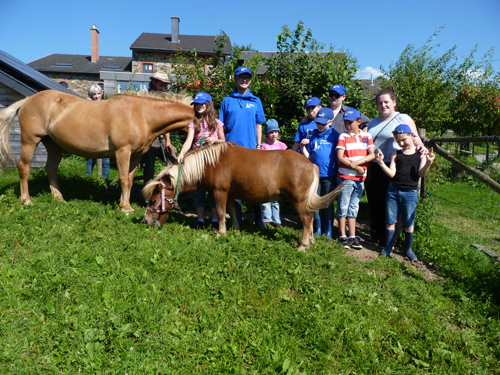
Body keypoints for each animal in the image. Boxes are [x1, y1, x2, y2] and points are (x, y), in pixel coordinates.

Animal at [0, 90, 194, 213]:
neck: (141, 114)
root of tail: (27, 100)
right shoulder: (122, 152)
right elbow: (124, 180)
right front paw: (124, 208)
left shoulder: (136, 155)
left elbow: (130, 180)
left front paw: (126, 204)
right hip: (30, 141)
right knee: (24, 168)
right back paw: (26, 200)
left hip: (53, 145)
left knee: (51, 169)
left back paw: (59, 198)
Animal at [142, 142, 344, 251]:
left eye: (153, 200)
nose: (146, 221)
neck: (211, 163)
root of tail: (311, 164)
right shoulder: (231, 195)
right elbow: (232, 212)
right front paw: (235, 230)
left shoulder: (220, 193)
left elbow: (221, 213)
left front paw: (221, 233)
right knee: (309, 219)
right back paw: (310, 241)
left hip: (299, 200)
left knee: (307, 219)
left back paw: (303, 245)